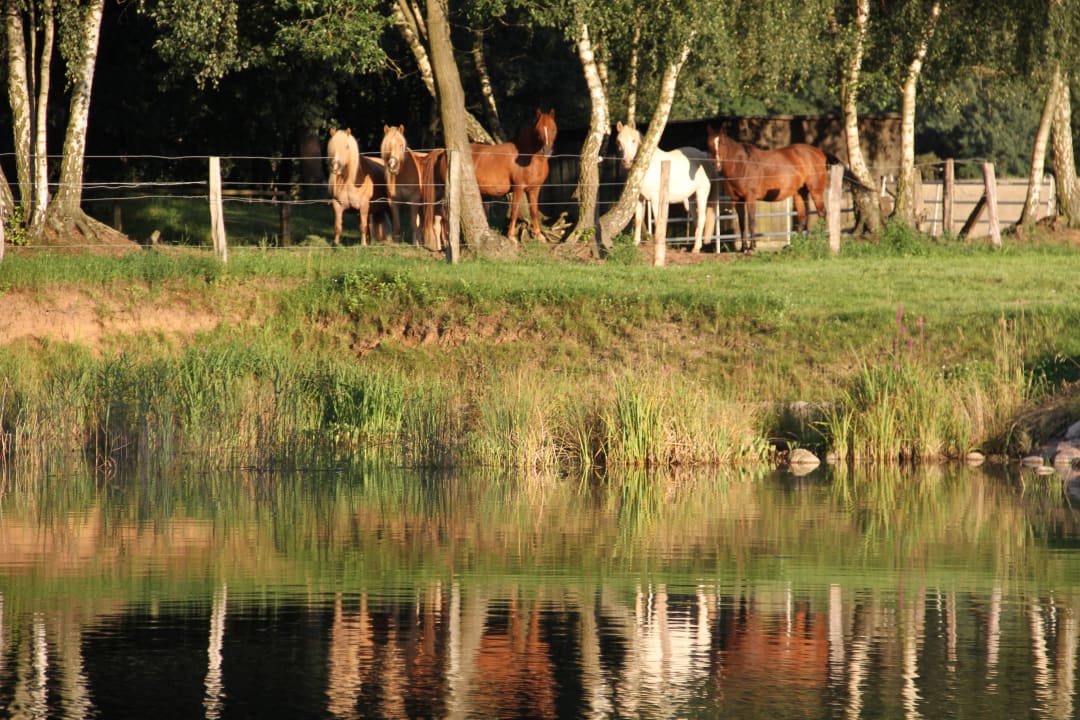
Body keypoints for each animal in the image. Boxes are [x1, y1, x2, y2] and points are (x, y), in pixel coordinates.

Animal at [614, 121, 717, 253]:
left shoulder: (655, 199)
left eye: (633, 140)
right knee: (696, 218)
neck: (647, 167)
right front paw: (635, 243)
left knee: (702, 218)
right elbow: (638, 220)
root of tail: (703, 156)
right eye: (619, 141)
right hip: (691, 198)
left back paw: (695, 248)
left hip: (701, 193)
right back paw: (695, 246)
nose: (626, 162)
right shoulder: (639, 198)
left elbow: (658, 219)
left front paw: (659, 243)